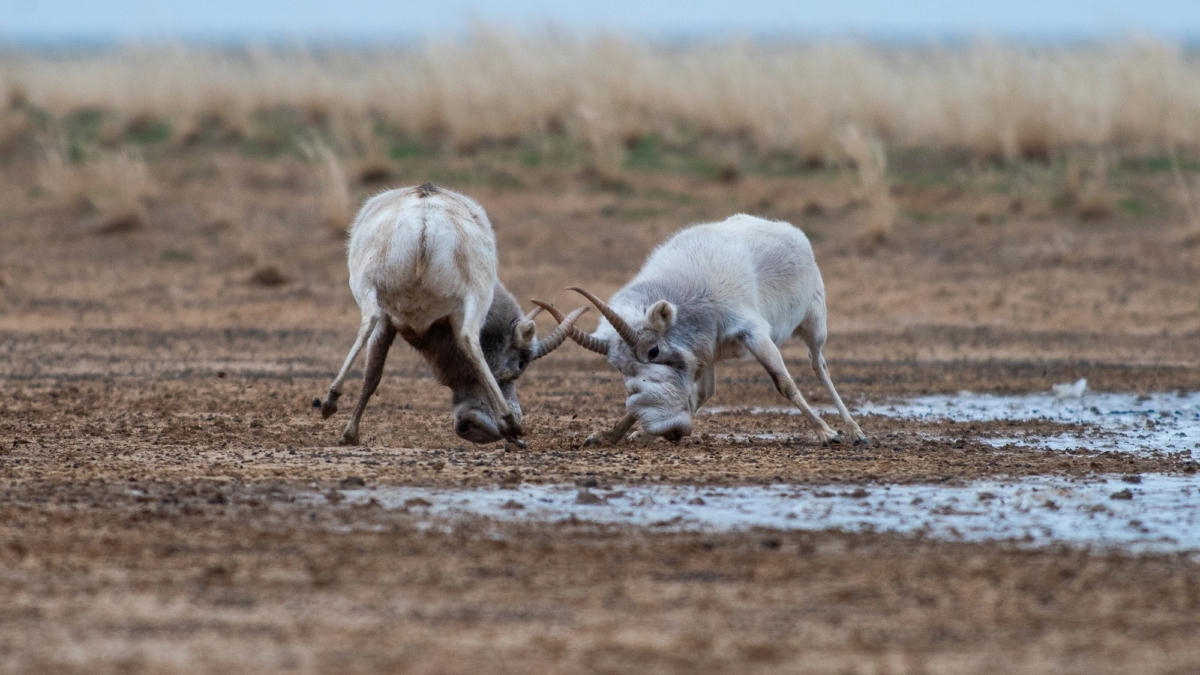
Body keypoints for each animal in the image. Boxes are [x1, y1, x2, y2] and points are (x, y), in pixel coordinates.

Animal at [316, 183, 583, 446]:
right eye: (521, 362)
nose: (476, 428)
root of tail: (425, 220)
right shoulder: (397, 317)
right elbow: (373, 374)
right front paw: (350, 433)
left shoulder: (390, 317)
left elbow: (373, 372)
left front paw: (349, 433)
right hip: (468, 296)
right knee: (468, 340)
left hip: (374, 289)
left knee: (371, 321)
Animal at [540, 212, 868, 444]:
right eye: (619, 367)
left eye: (653, 350)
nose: (670, 431)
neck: (692, 291)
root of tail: (794, 233)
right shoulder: (703, 351)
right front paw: (608, 435)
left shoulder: (754, 332)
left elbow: (784, 383)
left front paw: (826, 433)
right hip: (710, 355)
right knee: (707, 391)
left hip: (814, 325)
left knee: (819, 365)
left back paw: (854, 431)